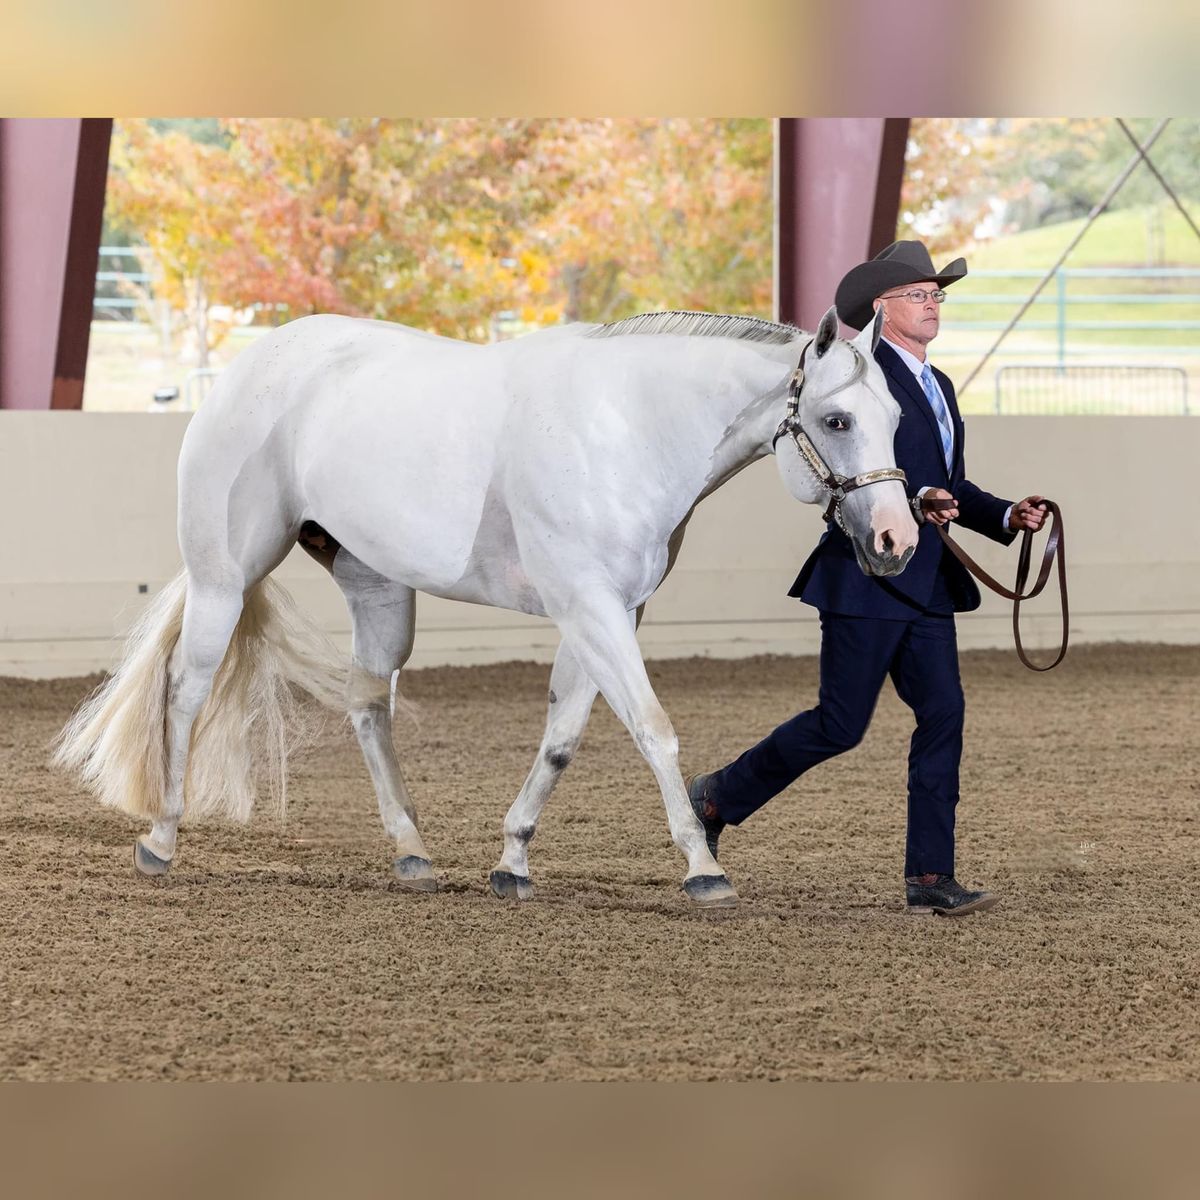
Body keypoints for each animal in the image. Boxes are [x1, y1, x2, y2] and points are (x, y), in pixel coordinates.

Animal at [56, 302, 916, 907]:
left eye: (897, 419)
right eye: (837, 419)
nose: (897, 540)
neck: (627, 431)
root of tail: (252, 365)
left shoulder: (606, 613)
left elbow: (563, 738)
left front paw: (512, 861)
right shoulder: (593, 608)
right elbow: (654, 727)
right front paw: (704, 868)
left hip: (377, 589)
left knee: (367, 704)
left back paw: (412, 852)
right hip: (224, 578)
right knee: (186, 689)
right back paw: (161, 840)